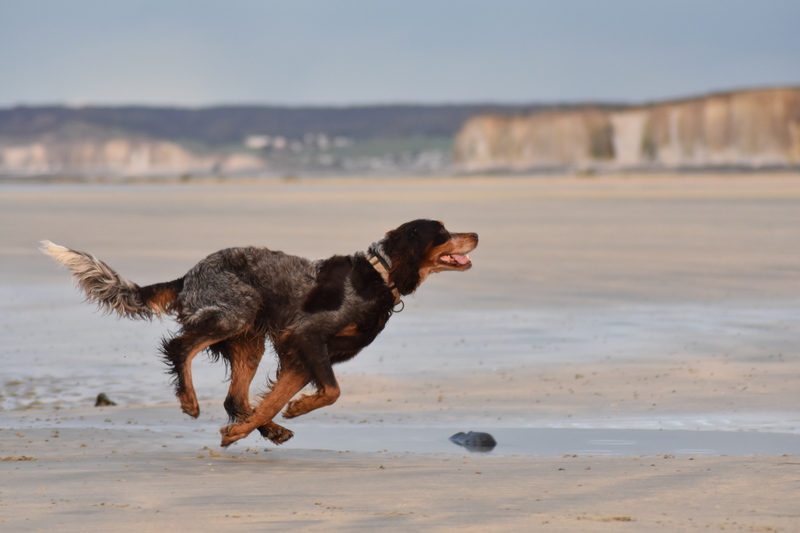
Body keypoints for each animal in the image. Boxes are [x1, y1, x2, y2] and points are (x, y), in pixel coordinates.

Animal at [42, 218, 476, 446]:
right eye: (441, 232)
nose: (476, 233)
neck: (379, 276)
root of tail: (188, 276)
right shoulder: (306, 337)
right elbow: (331, 392)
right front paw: (294, 410)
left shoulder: (300, 355)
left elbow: (275, 400)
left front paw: (247, 429)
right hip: (236, 311)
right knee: (179, 348)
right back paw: (189, 400)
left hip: (248, 339)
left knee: (235, 397)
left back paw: (265, 428)